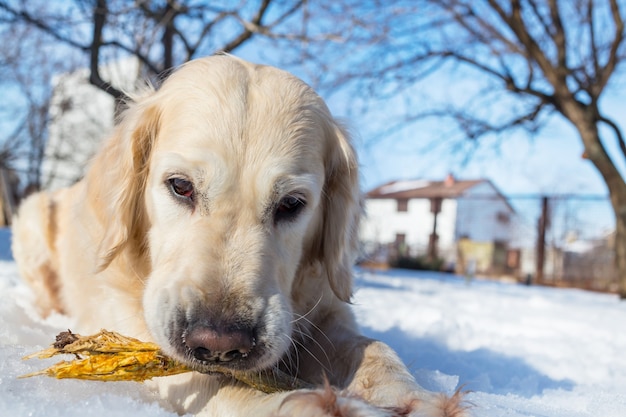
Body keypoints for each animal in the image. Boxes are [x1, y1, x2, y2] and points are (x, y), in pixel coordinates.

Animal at [12, 55, 466, 416]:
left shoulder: (325, 310)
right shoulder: (137, 326)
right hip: (31, 216)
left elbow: (373, 347)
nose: (219, 343)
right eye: (180, 186)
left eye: (291, 204)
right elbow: (214, 381)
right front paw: (306, 405)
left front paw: (412, 394)